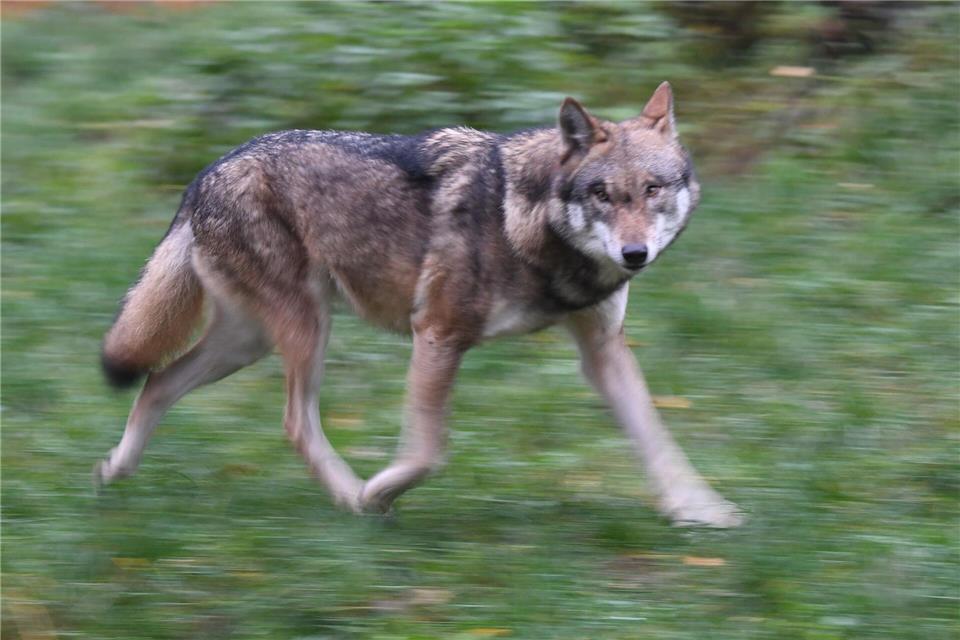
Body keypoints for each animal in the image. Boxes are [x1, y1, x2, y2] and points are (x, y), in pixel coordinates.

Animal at [96, 82, 741, 527]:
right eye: (603, 194)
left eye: (652, 189)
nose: (635, 253)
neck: (527, 224)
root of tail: (206, 172)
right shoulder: (437, 333)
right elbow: (429, 452)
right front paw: (378, 491)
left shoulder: (602, 350)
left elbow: (657, 438)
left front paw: (701, 511)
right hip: (304, 330)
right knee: (293, 423)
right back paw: (351, 498)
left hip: (248, 342)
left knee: (158, 381)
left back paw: (114, 472)